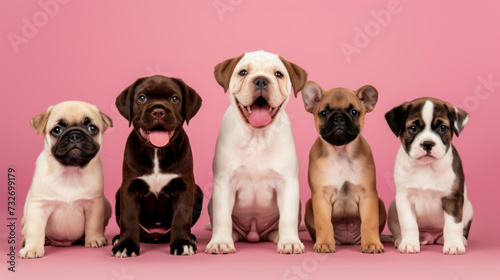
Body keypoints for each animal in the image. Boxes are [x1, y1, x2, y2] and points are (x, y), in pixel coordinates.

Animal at [20, 101, 113, 258]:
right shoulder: (38, 206)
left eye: (92, 128)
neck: (71, 171)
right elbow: (35, 230)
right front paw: (32, 248)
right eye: (57, 130)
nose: (75, 135)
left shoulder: (94, 205)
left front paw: (94, 239)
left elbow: (93, 225)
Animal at [112, 75, 202, 258]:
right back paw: (118, 238)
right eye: (142, 97)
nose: (158, 111)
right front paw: (126, 245)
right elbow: (129, 218)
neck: (156, 151)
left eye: (174, 98)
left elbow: (181, 217)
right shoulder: (129, 188)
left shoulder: (185, 187)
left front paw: (183, 243)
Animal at [300, 81, 386, 254]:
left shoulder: (368, 195)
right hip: (308, 205)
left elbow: (370, 222)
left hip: (380, 203)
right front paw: (324, 243)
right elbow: (324, 223)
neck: (341, 152)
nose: (339, 119)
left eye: (354, 112)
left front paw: (372, 243)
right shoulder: (320, 197)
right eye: (324, 112)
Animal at [386, 97, 472, 254]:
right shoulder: (404, 199)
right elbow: (408, 224)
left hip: (468, 207)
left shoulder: (453, 199)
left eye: (443, 128)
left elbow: (452, 225)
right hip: (392, 207)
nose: (427, 143)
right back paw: (400, 239)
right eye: (413, 128)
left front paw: (454, 245)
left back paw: (454, 240)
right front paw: (409, 243)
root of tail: (430, 236)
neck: (426, 166)